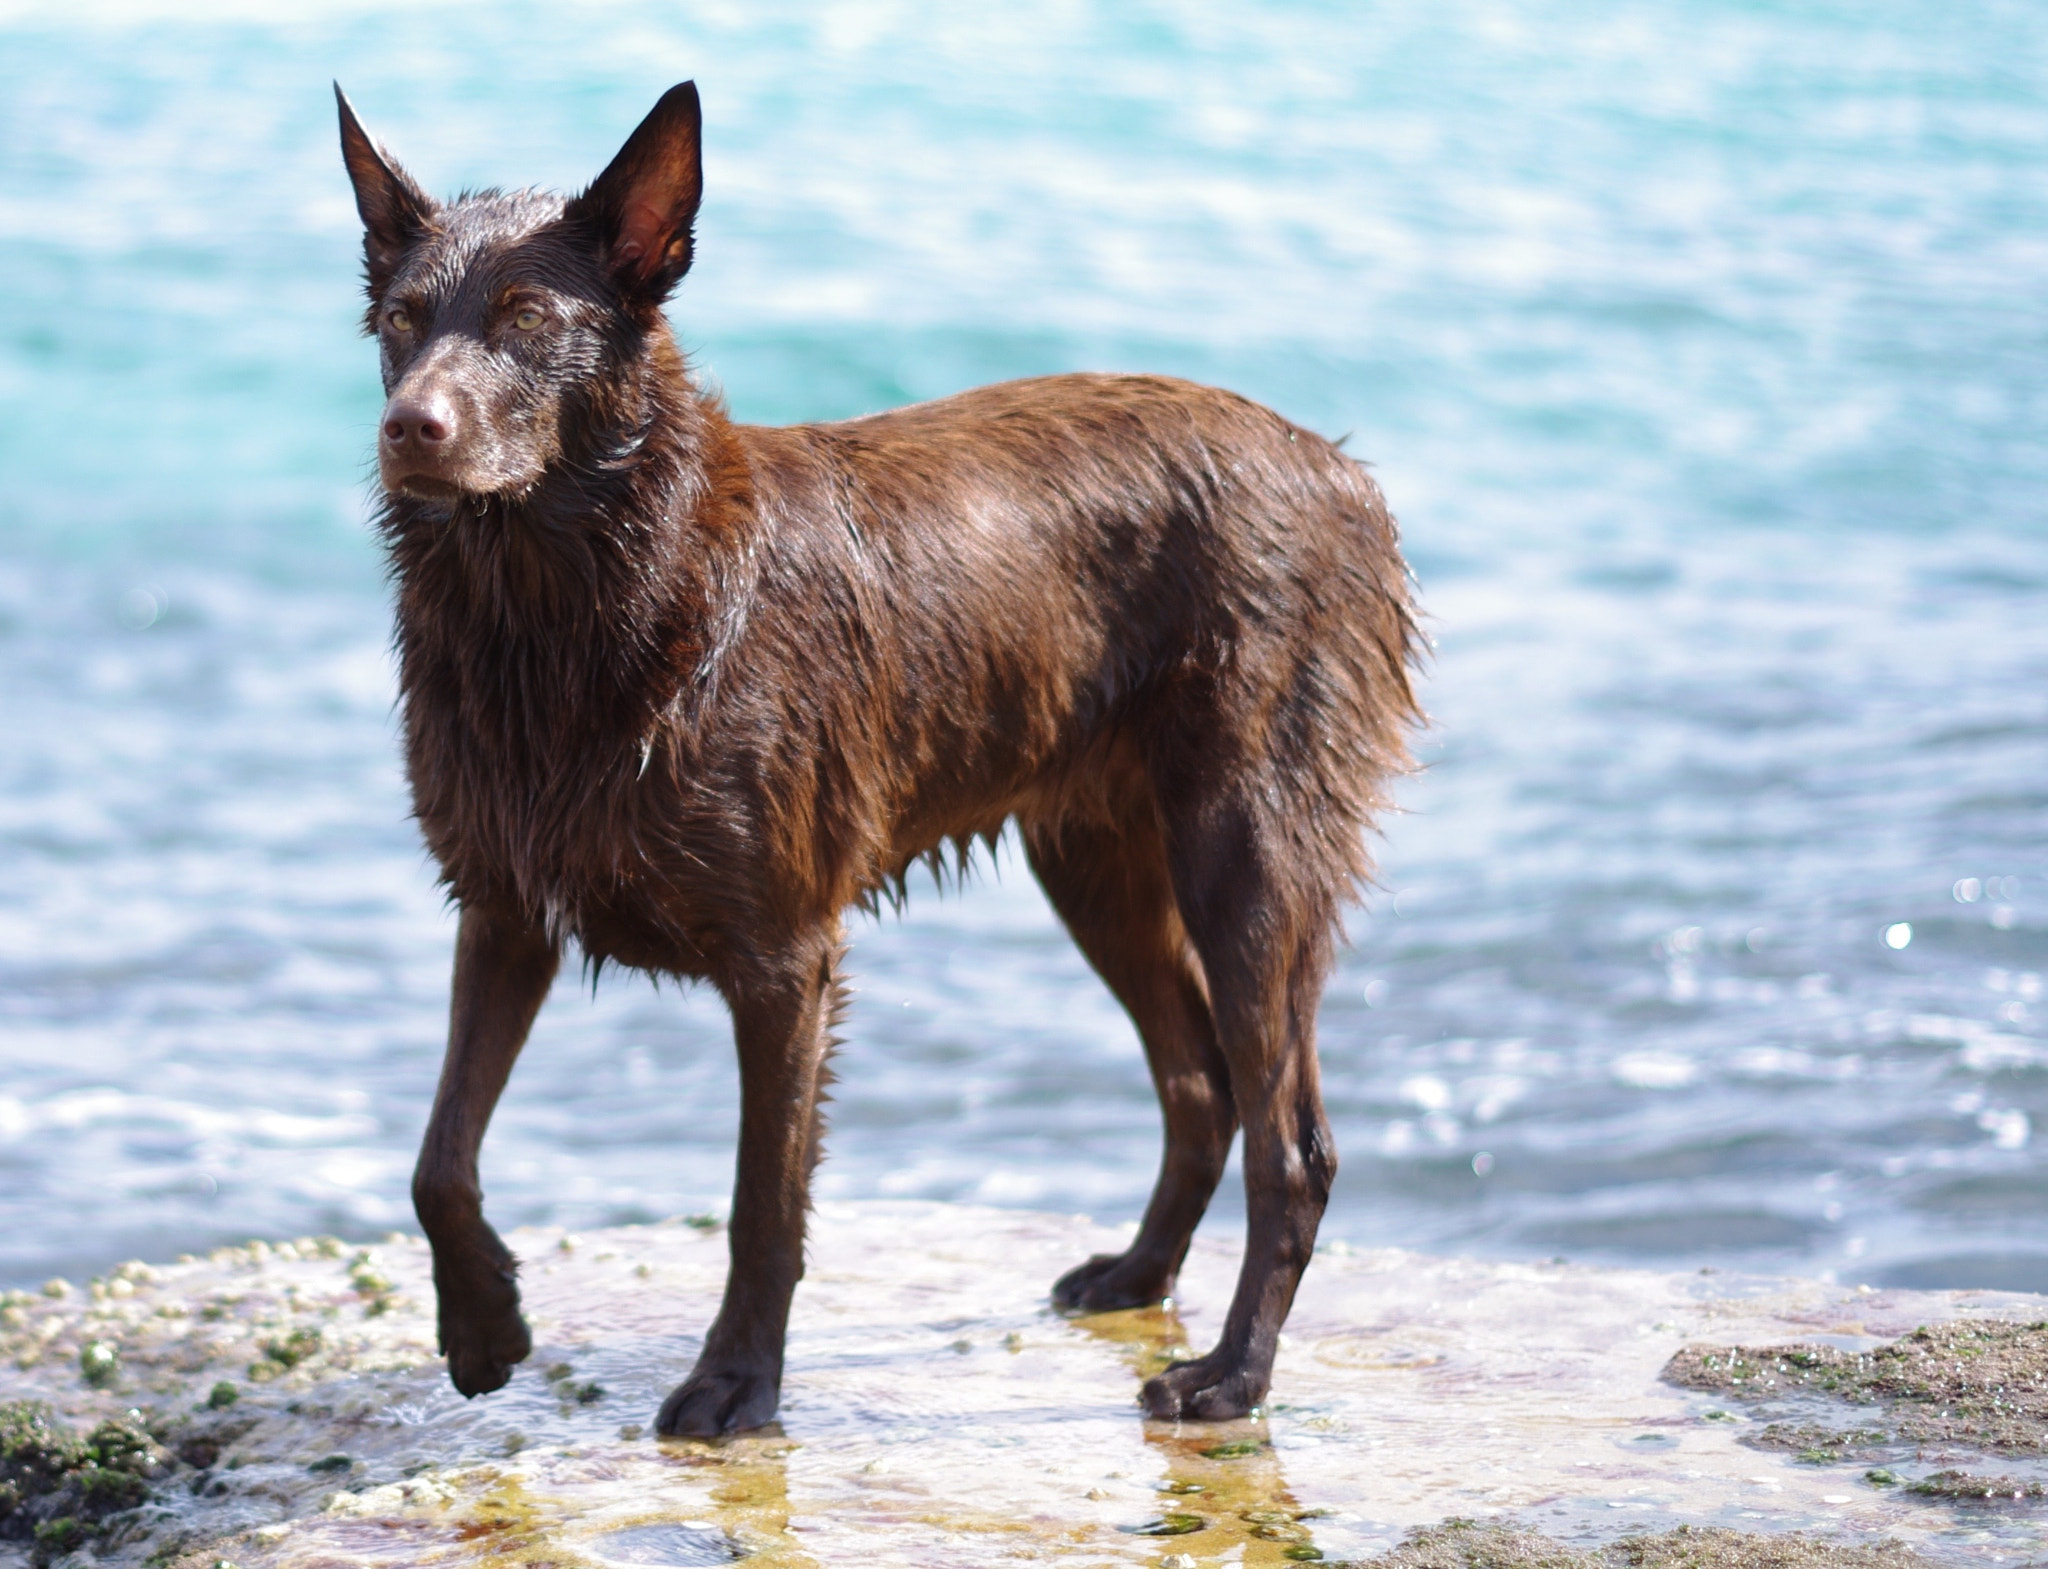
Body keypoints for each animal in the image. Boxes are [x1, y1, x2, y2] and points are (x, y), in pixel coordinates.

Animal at [339, 82, 1425, 1442]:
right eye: (400, 320)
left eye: (529, 319)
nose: (407, 429)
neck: (569, 610)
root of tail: (1345, 473)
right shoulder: (502, 908)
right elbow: (437, 1158)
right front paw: (483, 1328)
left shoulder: (785, 957)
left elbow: (761, 1202)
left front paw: (736, 1384)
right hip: (1098, 860)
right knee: (1198, 1087)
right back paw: (1134, 1276)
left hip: (1247, 850)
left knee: (1291, 1143)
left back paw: (1228, 1375)